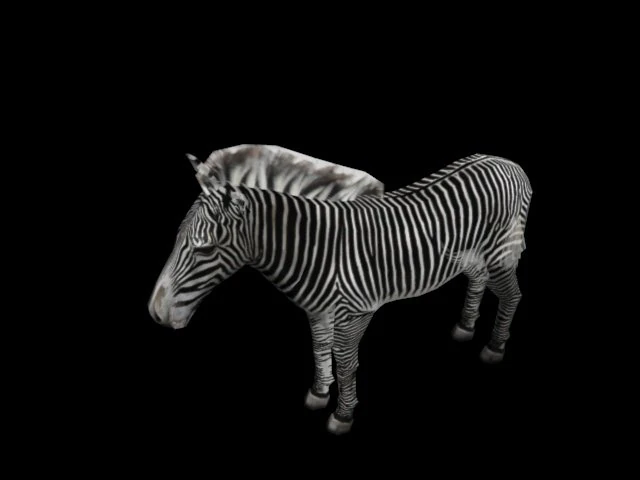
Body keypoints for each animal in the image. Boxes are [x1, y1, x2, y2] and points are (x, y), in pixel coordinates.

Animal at [148, 153, 532, 435]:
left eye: (205, 249)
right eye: (177, 238)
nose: (156, 312)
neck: (318, 249)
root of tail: (507, 162)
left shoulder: (356, 313)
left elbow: (346, 362)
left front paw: (342, 415)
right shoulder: (318, 310)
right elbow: (319, 348)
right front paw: (319, 393)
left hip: (500, 250)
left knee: (513, 296)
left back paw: (495, 346)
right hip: (471, 254)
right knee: (479, 280)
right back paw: (465, 326)